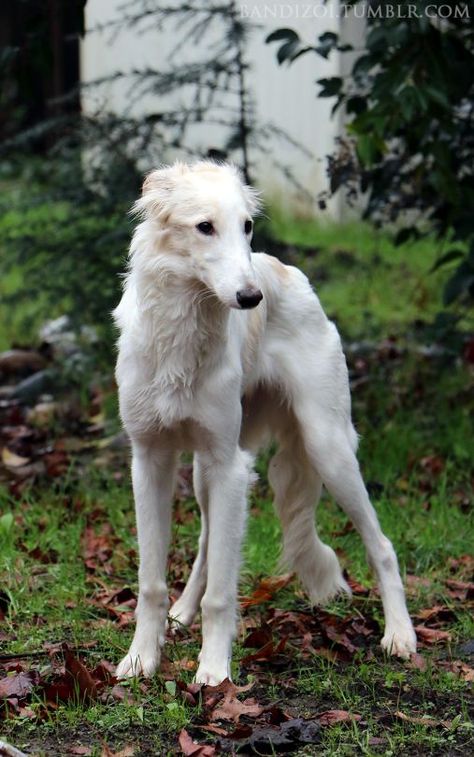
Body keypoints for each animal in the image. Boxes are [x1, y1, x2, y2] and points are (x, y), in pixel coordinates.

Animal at [113, 161, 416, 684]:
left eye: (247, 226)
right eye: (204, 226)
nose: (251, 298)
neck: (180, 336)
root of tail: (289, 272)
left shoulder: (230, 467)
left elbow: (221, 594)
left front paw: (214, 672)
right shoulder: (150, 459)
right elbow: (151, 581)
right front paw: (141, 659)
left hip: (326, 449)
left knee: (382, 545)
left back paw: (400, 635)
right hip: (206, 470)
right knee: (207, 543)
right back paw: (181, 612)